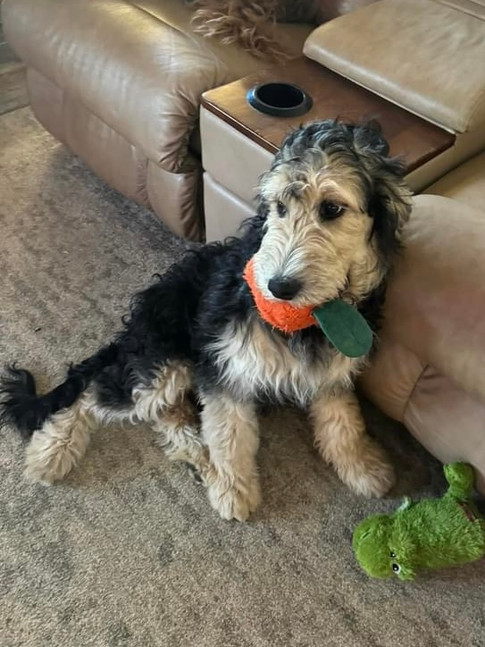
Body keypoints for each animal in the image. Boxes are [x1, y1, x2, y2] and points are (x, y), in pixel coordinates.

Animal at [0, 120, 412, 521]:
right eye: (279, 207)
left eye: (331, 209)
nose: (277, 287)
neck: (309, 319)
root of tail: (133, 329)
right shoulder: (225, 367)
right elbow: (230, 435)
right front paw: (234, 490)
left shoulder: (332, 371)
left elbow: (344, 422)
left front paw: (364, 467)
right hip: (165, 360)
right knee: (94, 393)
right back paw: (52, 453)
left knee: (168, 414)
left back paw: (197, 453)